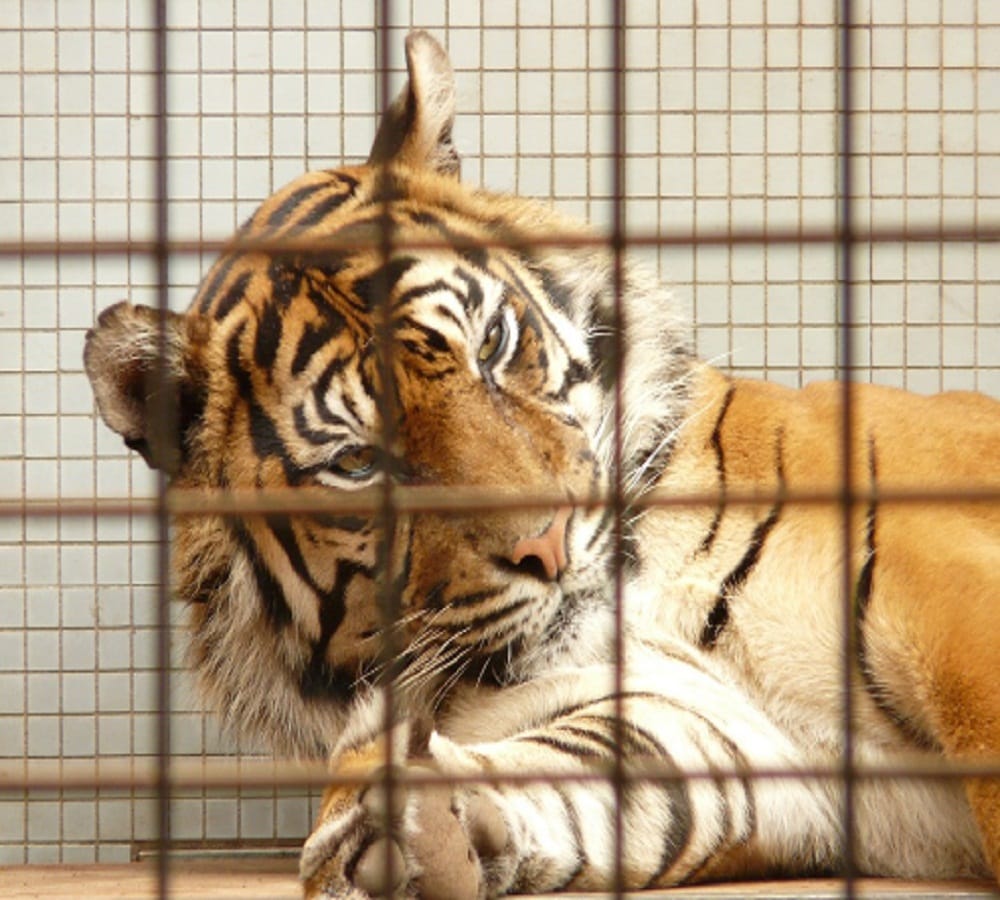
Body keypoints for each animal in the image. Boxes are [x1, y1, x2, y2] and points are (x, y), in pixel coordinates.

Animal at [83, 29, 1000, 899]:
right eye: (359, 462)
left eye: (491, 343)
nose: (547, 546)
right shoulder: (704, 723)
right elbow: (586, 774)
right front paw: (405, 824)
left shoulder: (948, 600)